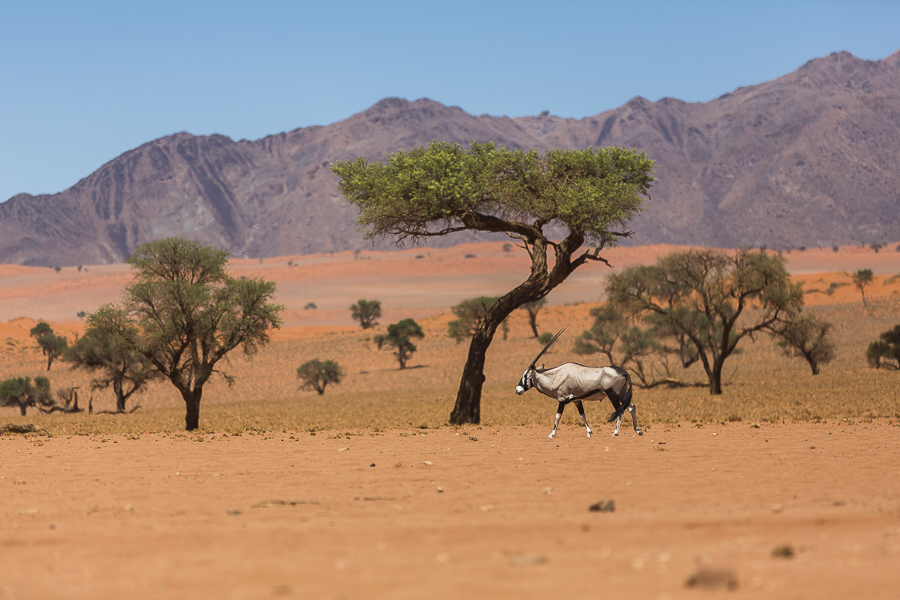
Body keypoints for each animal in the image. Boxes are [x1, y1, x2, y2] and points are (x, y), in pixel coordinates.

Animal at [516, 330, 644, 438]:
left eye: (526, 376)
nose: (518, 390)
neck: (556, 376)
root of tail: (624, 372)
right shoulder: (577, 400)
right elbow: (582, 415)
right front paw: (589, 432)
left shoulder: (562, 400)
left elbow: (557, 416)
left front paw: (552, 434)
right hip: (622, 394)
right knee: (631, 407)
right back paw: (638, 430)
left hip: (613, 395)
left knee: (620, 411)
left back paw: (615, 432)